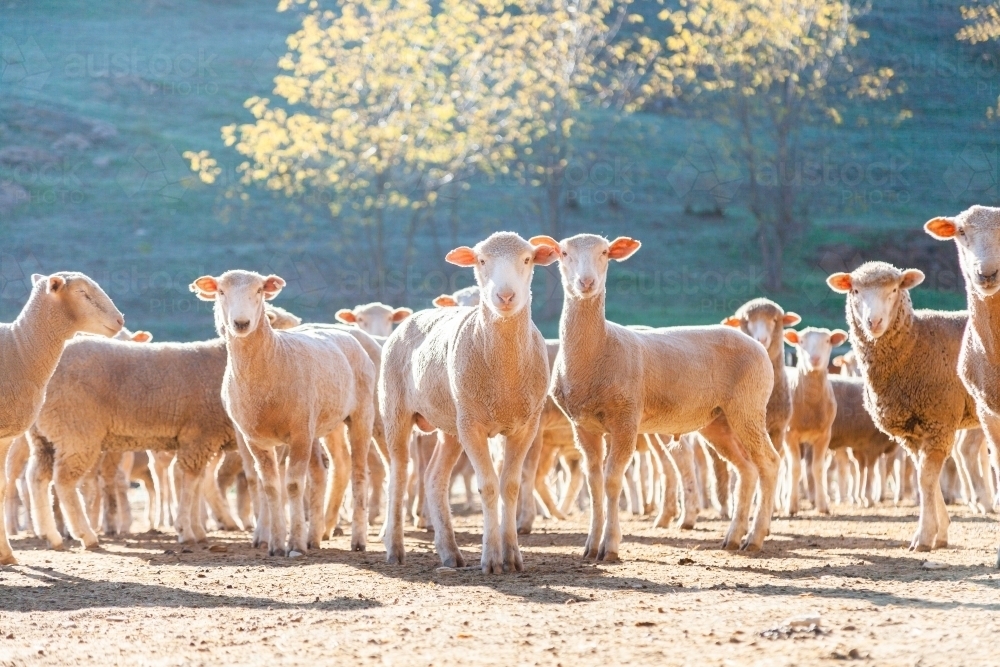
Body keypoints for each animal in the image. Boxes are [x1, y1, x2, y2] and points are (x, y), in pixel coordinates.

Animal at [191, 270, 377, 556]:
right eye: (221, 292)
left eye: (259, 291)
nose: (241, 323)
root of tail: (345, 334)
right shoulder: (255, 439)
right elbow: (270, 486)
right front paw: (276, 544)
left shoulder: (299, 433)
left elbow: (293, 485)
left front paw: (296, 543)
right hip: (327, 422)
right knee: (338, 466)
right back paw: (320, 532)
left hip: (361, 414)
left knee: (358, 471)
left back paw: (357, 540)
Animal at [379, 232, 558, 572]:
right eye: (481, 260)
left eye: (527, 259)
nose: (505, 296)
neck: (504, 375)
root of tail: (413, 316)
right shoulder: (473, 426)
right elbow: (487, 485)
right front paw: (491, 559)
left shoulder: (525, 427)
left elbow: (510, 486)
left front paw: (512, 556)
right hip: (397, 412)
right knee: (398, 475)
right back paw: (394, 548)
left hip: (452, 424)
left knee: (433, 478)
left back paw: (450, 552)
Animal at [536, 234, 779, 557]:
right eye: (563, 253)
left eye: (605, 253)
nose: (586, 282)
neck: (598, 349)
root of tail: (756, 345)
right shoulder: (583, 425)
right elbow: (594, 482)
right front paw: (590, 546)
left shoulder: (626, 419)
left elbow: (612, 479)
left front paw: (610, 546)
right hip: (719, 421)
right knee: (747, 469)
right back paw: (733, 536)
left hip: (749, 407)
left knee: (770, 463)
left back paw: (755, 537)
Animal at [782, 326, 848, 515]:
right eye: (801, 341)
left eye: (827, 341)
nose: (814, 359)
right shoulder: (789, 434)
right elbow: (795, 468)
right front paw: (791, 507)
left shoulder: (824, 436)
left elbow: (817, 469)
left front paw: (823, 505)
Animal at [826, 261, 979, 551]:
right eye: (855, 291)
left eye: (895, 289)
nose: (873, 322)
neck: (915, 343)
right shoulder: (913, 433)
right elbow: (925, 477)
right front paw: (940, 533)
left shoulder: (939, 420)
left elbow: (926, 479)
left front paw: (925, 537)